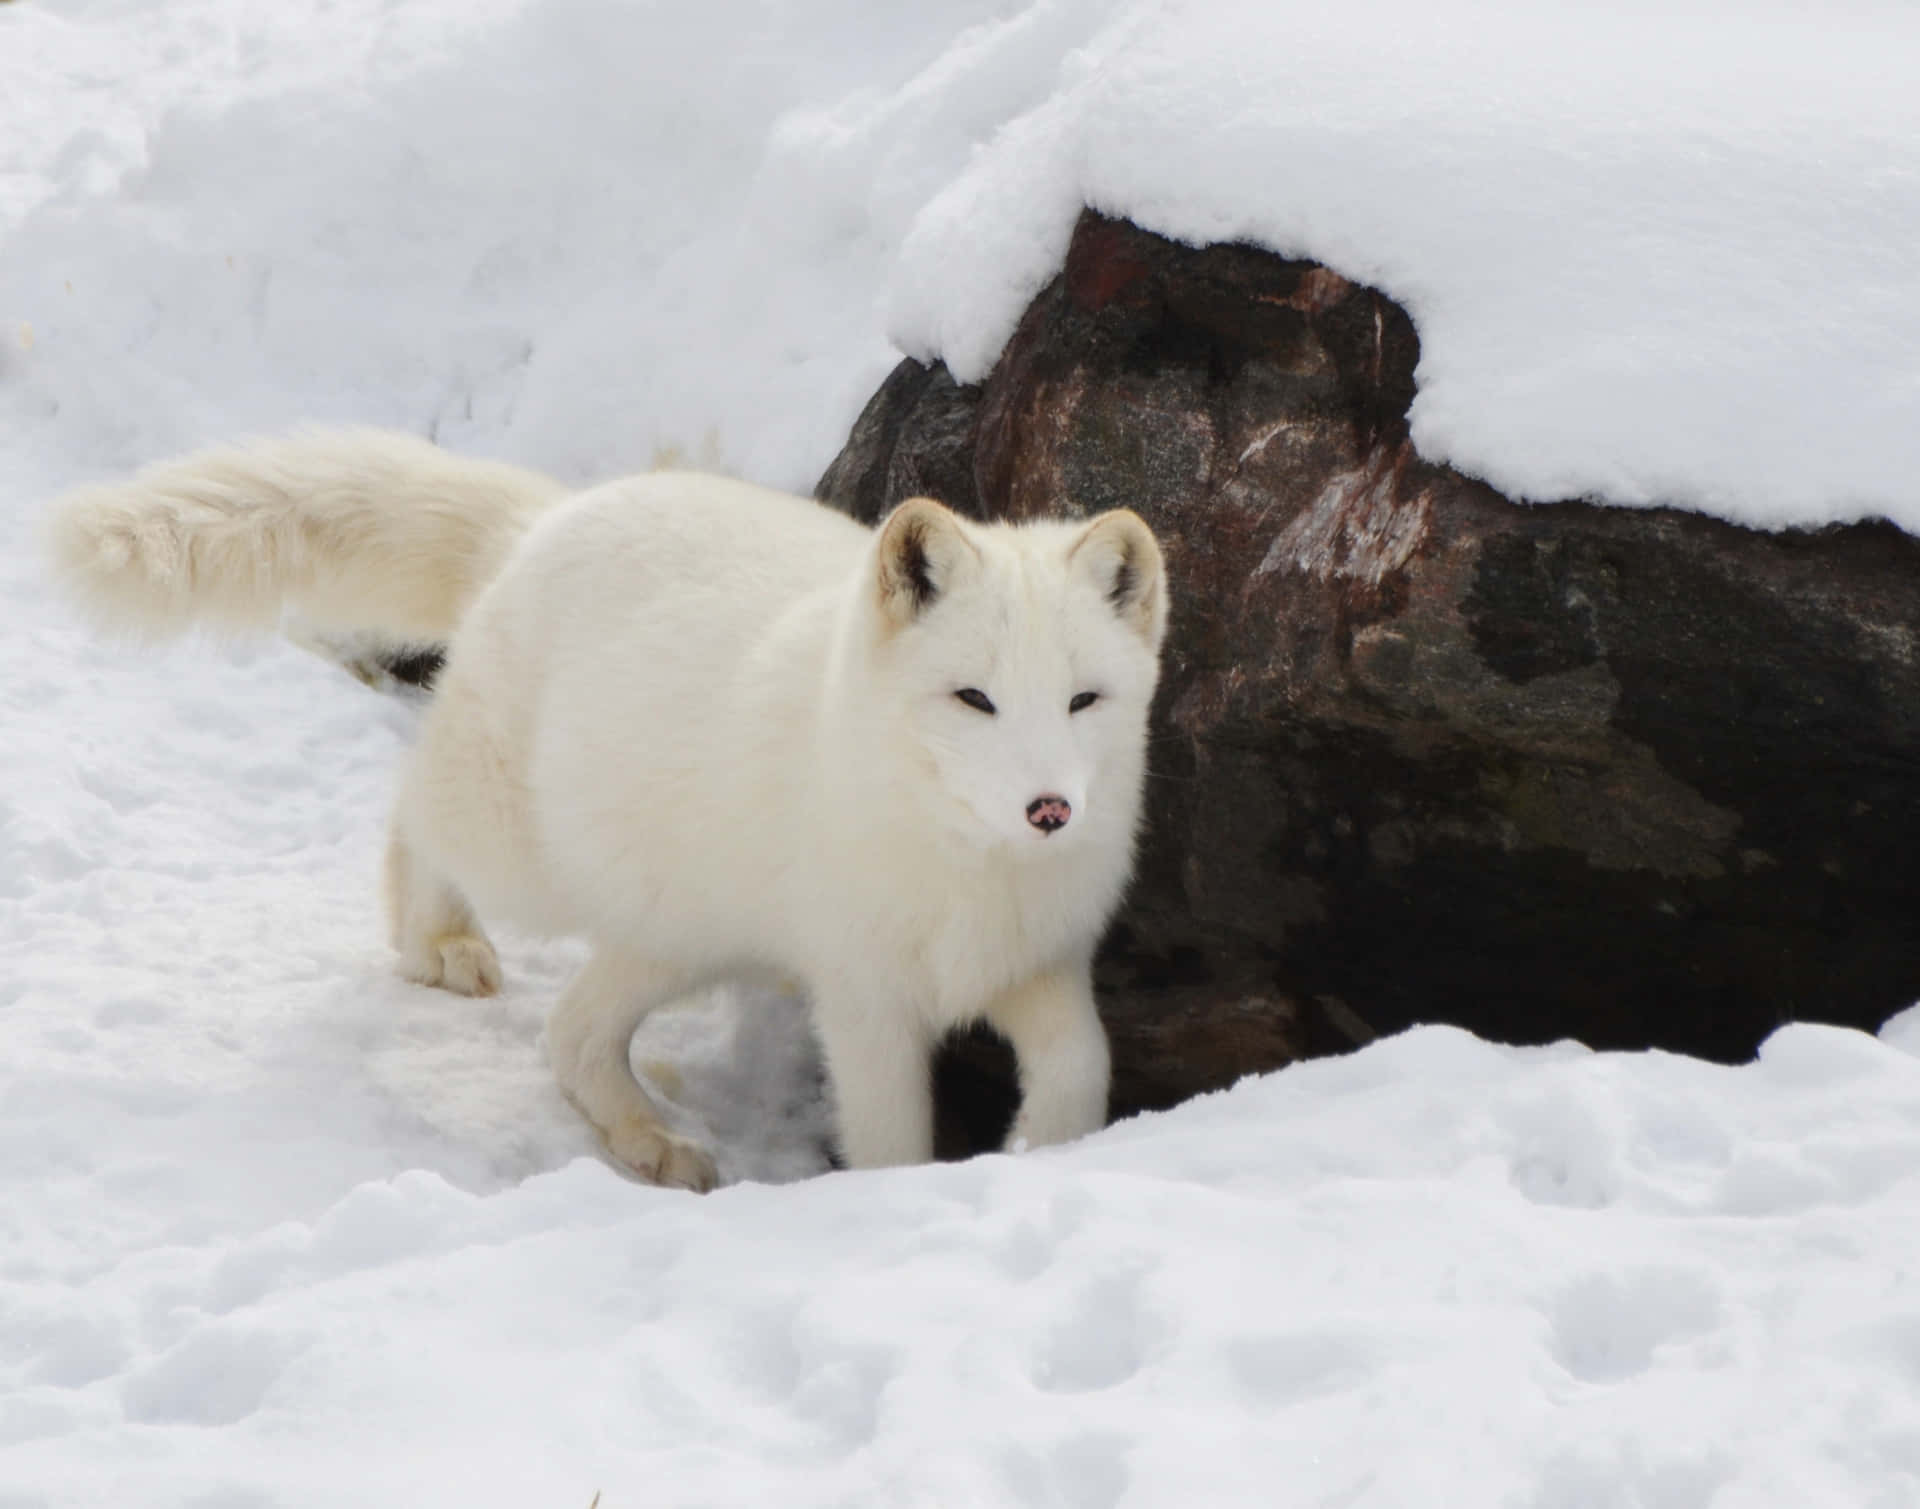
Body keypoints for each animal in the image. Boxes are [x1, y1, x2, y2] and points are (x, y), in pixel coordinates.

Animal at [48, 431, 1167, 1190]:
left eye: (1083, 700)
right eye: (973, 698)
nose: (1051, 808)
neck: (968, 870)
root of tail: (545, 522)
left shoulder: (1041, 964)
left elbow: (1084, 1068)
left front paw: (1048, 1153)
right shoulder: (865, 998)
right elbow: (890, 1140)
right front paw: (900, 1200)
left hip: (681, 931)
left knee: (573, 1035)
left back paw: (651, 1139)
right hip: (526, 857)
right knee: (414, 813)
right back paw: (437, 940)